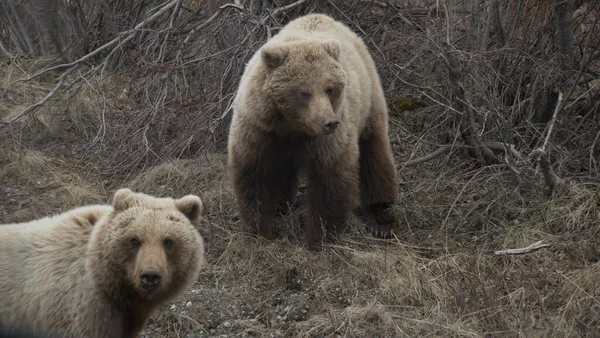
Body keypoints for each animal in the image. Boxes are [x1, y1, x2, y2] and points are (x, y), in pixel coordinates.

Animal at [227, 13, 400, 250]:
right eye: (304, 92)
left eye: (329, 88)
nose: (329, 122)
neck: (291, 125)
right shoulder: (259, 129)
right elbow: (255, 174)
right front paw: (260, 232)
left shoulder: (326, 140)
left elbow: (330, 177)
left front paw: (319, 240)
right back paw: (281, 205)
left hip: (369, 102)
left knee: (375, 154)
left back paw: (381, 219)